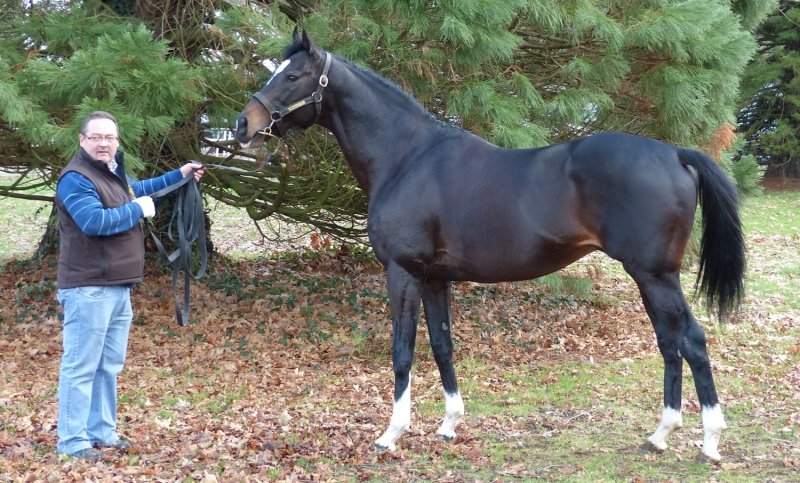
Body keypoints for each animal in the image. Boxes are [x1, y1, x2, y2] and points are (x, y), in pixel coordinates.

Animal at [234, 28, 745, 463]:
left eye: (292, 76)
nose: (243, 124)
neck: (406, 157)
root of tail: (674, 152)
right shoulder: (435, 279)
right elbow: (442, 345)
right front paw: (448, 425)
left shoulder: (402, 272)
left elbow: (403, 351)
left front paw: (391, 435)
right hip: (648, 277)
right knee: (669, 343)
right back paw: (660, 436)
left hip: (656, 276)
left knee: (692, 341)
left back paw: (709, 443)